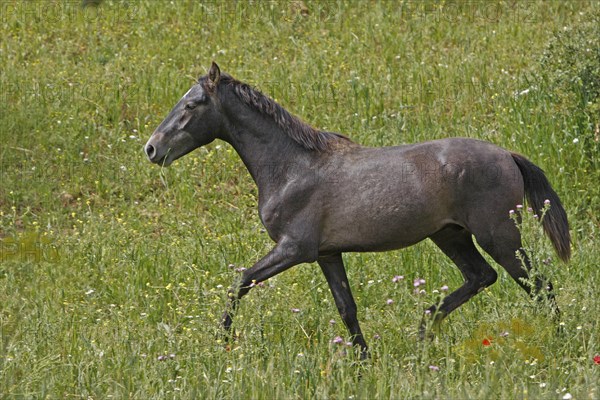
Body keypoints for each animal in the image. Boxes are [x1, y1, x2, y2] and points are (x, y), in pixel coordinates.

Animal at [143, 62, 568, 360]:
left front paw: (223, 343)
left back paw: (560, 344)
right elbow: (347, 308)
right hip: (450, 235)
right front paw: (364, 362)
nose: (151, 148)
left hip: (498, 235)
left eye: (192, 104)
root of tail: (507, 155)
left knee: (538, 285)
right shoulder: (328, 254)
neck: (291, 167)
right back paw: (422, 330)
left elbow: (239, 282)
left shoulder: (294, 249)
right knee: (482, 276)